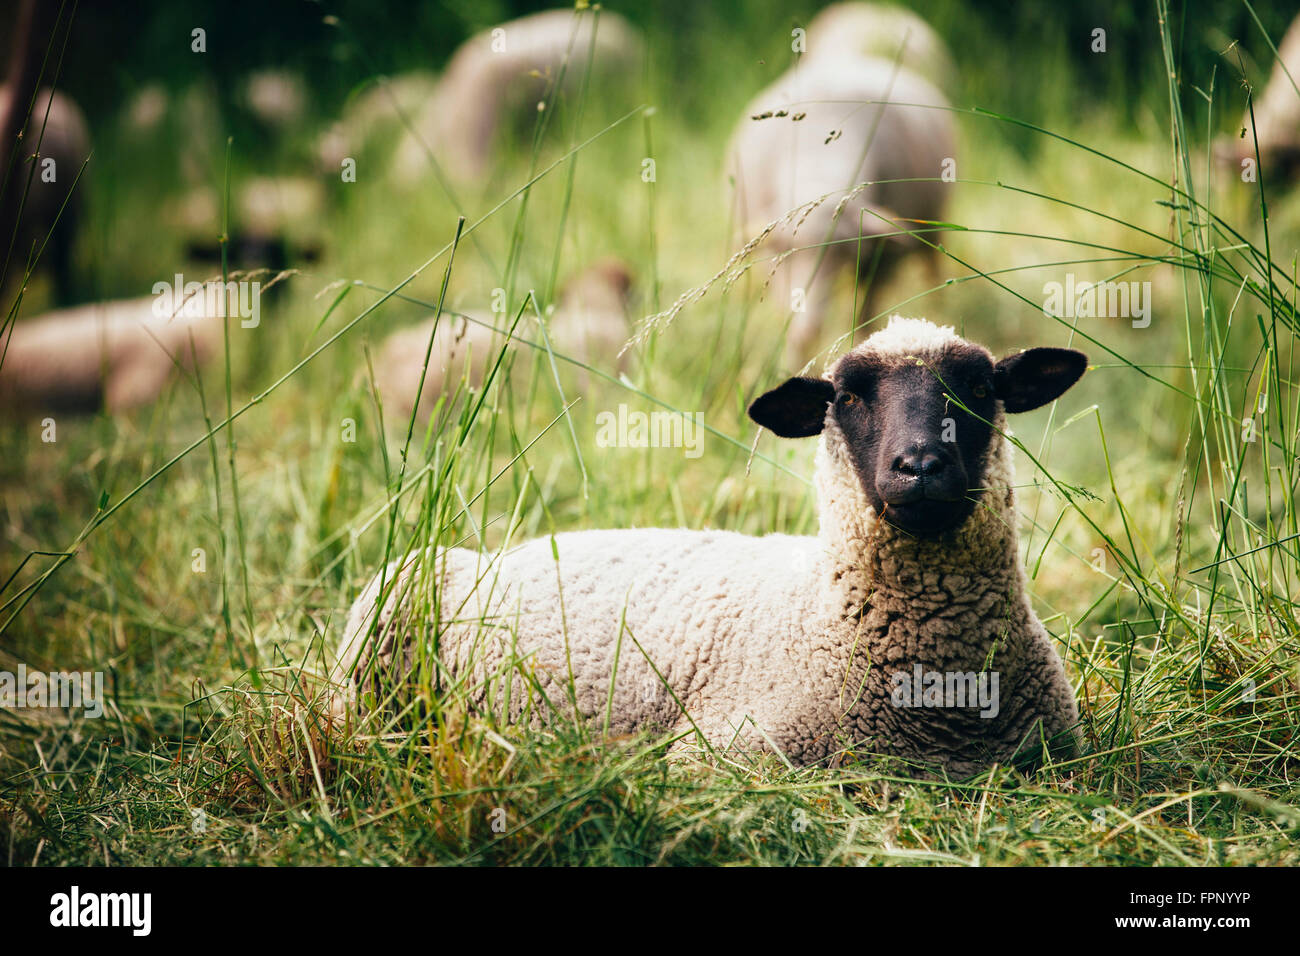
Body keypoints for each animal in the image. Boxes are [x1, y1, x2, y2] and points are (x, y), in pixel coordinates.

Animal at [733, 54, 956, 366]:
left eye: (843, 252)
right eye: (784, 251)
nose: (809, 328)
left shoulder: (882, 259)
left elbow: (865, 312)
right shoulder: (772, 264)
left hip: (934, 222)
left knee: (932, 262)